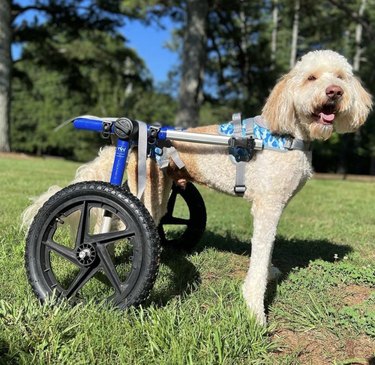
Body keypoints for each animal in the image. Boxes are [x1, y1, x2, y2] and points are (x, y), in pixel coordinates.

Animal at [22, 49, 374, 324]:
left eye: (341, 77)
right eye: (311, 78)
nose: (334, 92)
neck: (287, 133)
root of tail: (131, 132)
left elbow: (266, 251)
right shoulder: (268, 206)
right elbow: (259, 260)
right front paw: (255, 310)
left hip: (156, 191)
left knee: (111, 223)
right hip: (146, 198)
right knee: (111, 225)